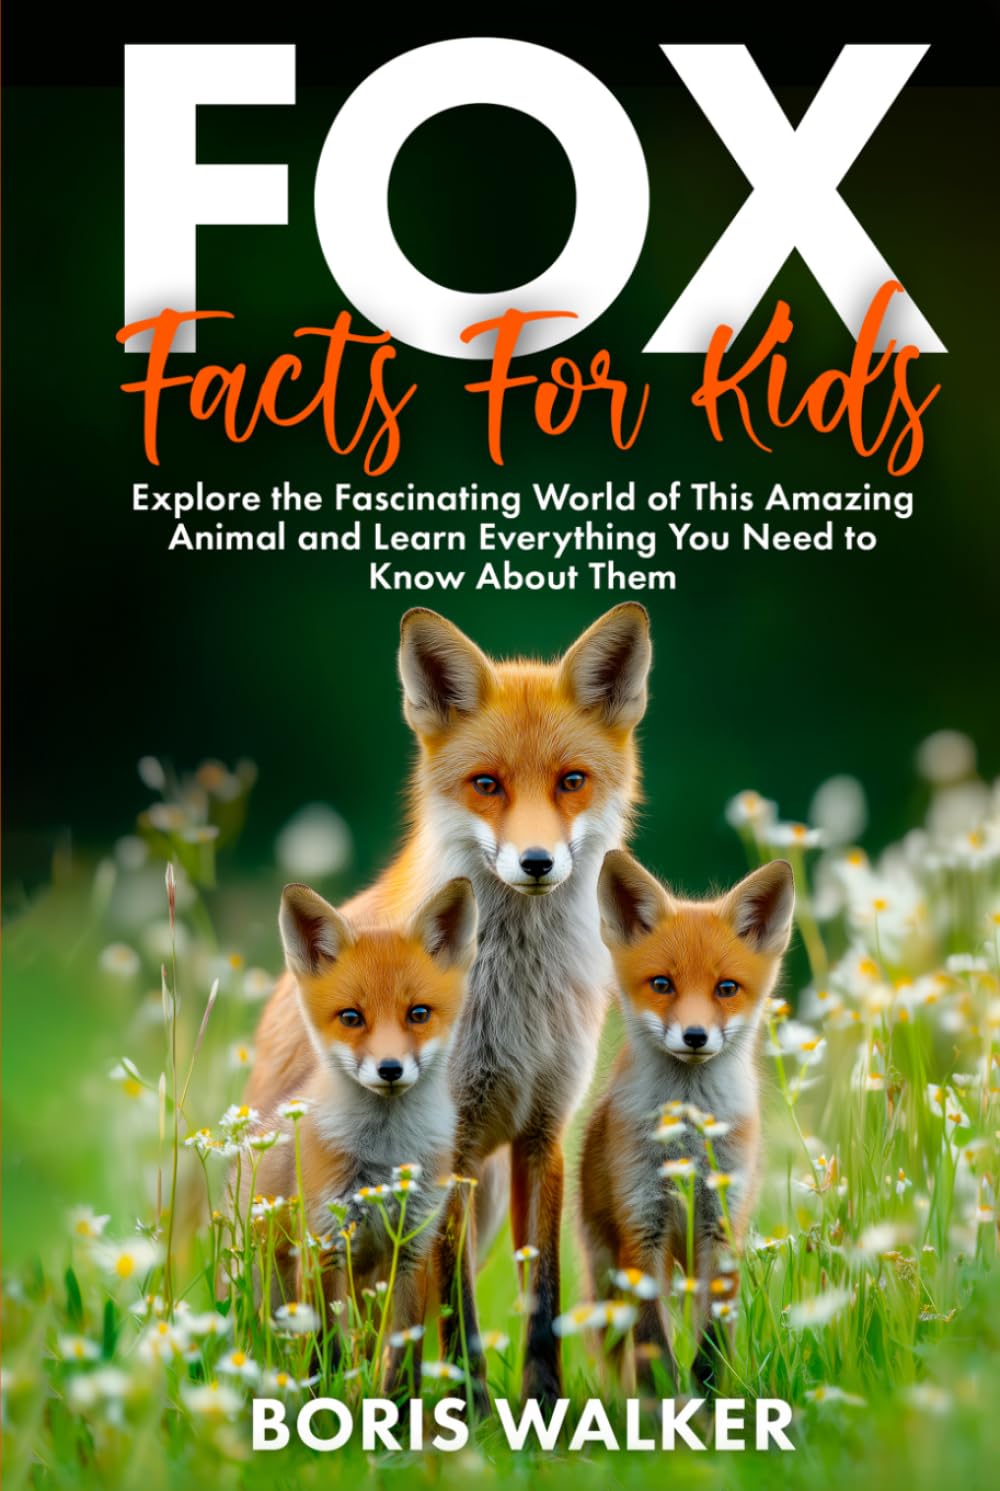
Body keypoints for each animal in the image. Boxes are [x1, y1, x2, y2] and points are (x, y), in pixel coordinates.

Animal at [246, 876, 478, 1391]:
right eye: (352, 1017)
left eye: (418, 1013)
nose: (390, 1069)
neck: (386, 1156)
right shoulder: (324, 1245)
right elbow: (324, 1355)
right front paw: (323, 1406)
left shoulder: (412, 1250)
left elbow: (403, 1361)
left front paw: (397, 1410)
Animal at [579, 850, 795, 1389]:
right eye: (662, 984)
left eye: (726, 988)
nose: (695, 1036)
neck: (688, 1145)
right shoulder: (642, 1226)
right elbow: (654, 1347)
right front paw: (666, 1408)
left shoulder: (721, 1227)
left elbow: (712, 1343)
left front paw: (709, 1399)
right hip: (605, 1275)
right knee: (613, 1354)